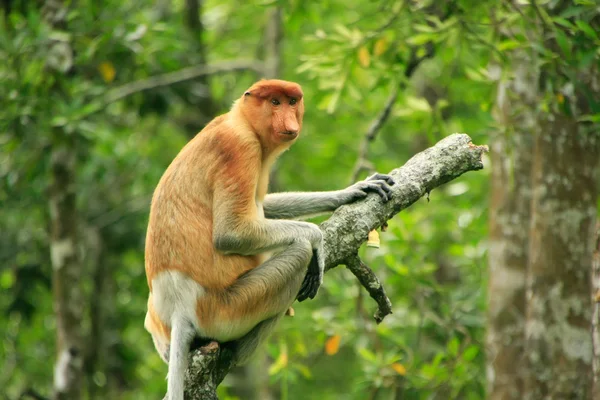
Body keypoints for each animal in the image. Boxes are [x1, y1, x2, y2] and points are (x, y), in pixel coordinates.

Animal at [144, 79, 396, 400]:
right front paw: (317, 240)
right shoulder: (241, 149)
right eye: (275, 102)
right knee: (298, 254)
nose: (289, 121)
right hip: (226, 309)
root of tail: (178, 307)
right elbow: (231, 233)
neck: (241, 121)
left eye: (292, 102)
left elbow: (265, 207)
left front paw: (355, 189)